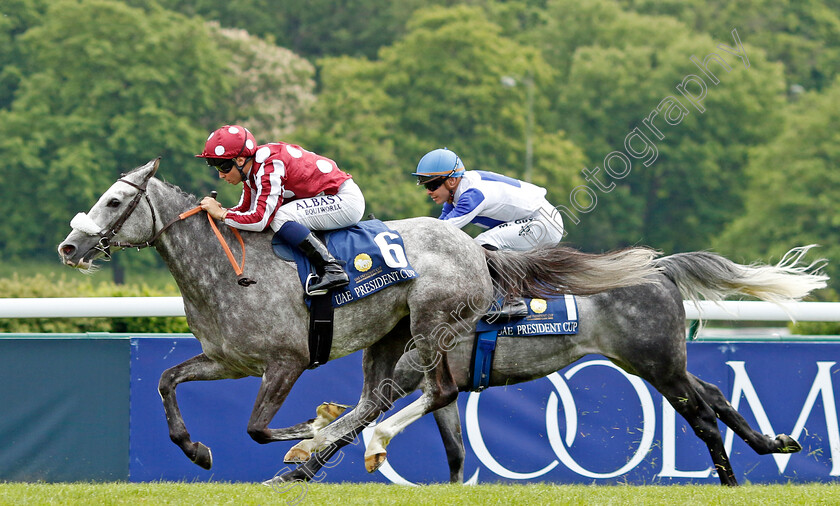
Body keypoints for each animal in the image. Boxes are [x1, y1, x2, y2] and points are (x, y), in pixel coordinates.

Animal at [57, 159, 664, 474]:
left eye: (115, 202)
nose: (70, 246)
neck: (230, 270)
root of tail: (473, 252)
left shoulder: (287, 361)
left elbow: (256, 428)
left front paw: (308, 428)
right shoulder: (228, 360)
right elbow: (166, 380)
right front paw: (196, 449)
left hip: (432, 325)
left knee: (434, 393)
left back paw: (339, 442)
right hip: (389, 336)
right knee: (376, 400)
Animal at [272, 248, 824, 486]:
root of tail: (660, 268)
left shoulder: (414, 373)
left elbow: (358, 423)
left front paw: (299, 466)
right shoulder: (435, 380)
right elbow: (453, 447)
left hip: (658, 365)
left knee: (703, 415)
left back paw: (730, 482)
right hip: (653, 362)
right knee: (715, 394)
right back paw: (775, 443)